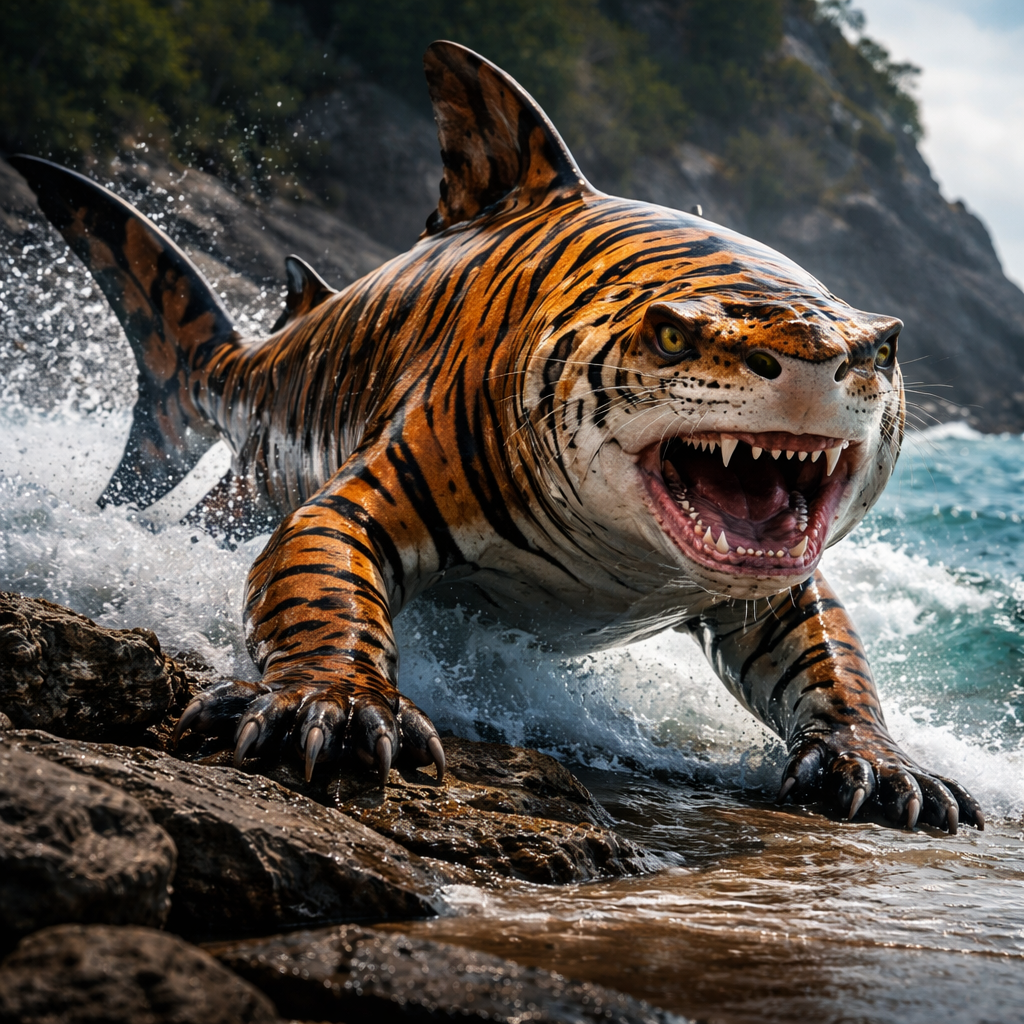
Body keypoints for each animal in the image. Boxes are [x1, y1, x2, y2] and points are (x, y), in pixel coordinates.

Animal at [11, 40, 982, 834]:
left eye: (881, 347)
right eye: (673, 335)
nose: (821, 358)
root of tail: (238, 358)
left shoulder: (776, 593)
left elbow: (831, 664)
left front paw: (878, 762)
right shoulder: (378, 487)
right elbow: (320, 583)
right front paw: (330, 702)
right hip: (246, 489)